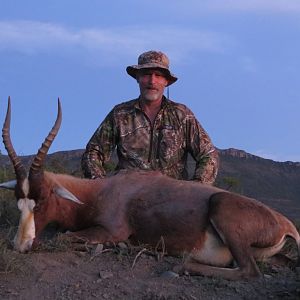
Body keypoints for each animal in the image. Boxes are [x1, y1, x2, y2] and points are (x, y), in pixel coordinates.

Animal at [0, 97, 298, 280]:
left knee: (249, 271)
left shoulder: (111, 230)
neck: (100, 191)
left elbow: (63, 237)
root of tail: (285, 224)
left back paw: (177, 264)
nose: (20, 245)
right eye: (19, 201)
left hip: (222, 210)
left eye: (41, 200)